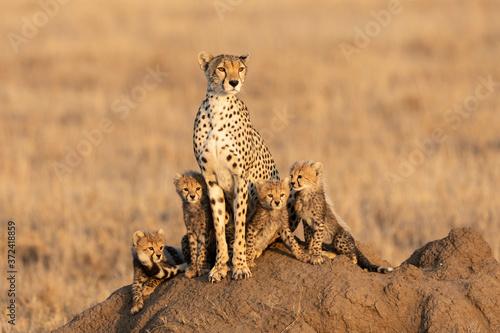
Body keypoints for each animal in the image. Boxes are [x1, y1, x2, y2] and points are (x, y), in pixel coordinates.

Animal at [193, 51, 280, 280]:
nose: (234, 82)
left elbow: (240, 226)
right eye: (221, 68)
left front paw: (239, 265)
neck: (218, 106)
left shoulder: (241, 180)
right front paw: (219, 266)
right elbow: (219, 225)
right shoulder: (211, 180)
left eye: (240, 69)